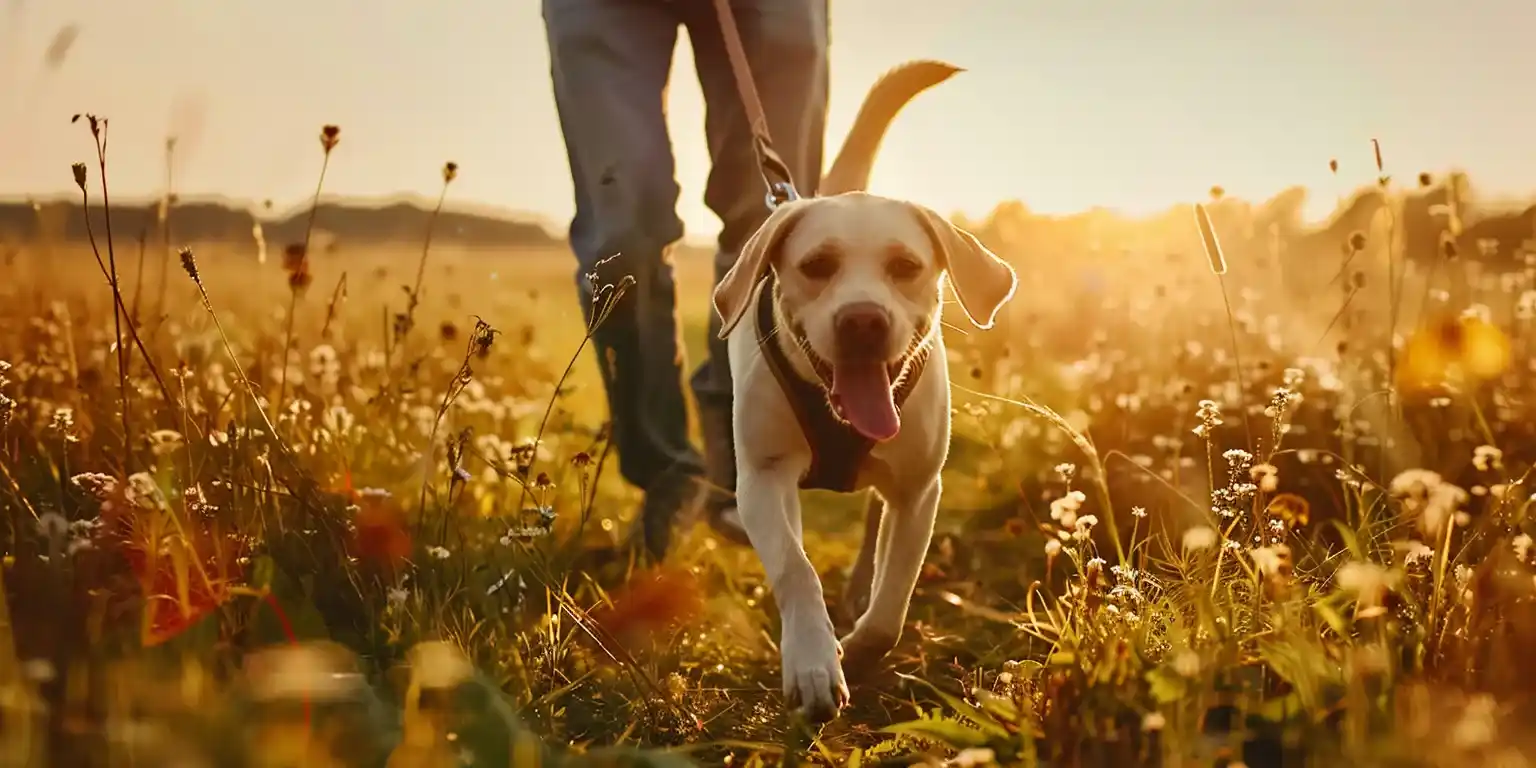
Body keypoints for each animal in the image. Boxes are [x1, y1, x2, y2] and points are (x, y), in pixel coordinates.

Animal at [706, 59, 1019, 718]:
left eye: (906, 267)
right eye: (816, 266)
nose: (863, 321)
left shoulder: (920, 491)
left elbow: (892, 602)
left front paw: (858, 646)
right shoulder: (762, 480)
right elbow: (795, 567)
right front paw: (813, 661)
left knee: (877, 532)